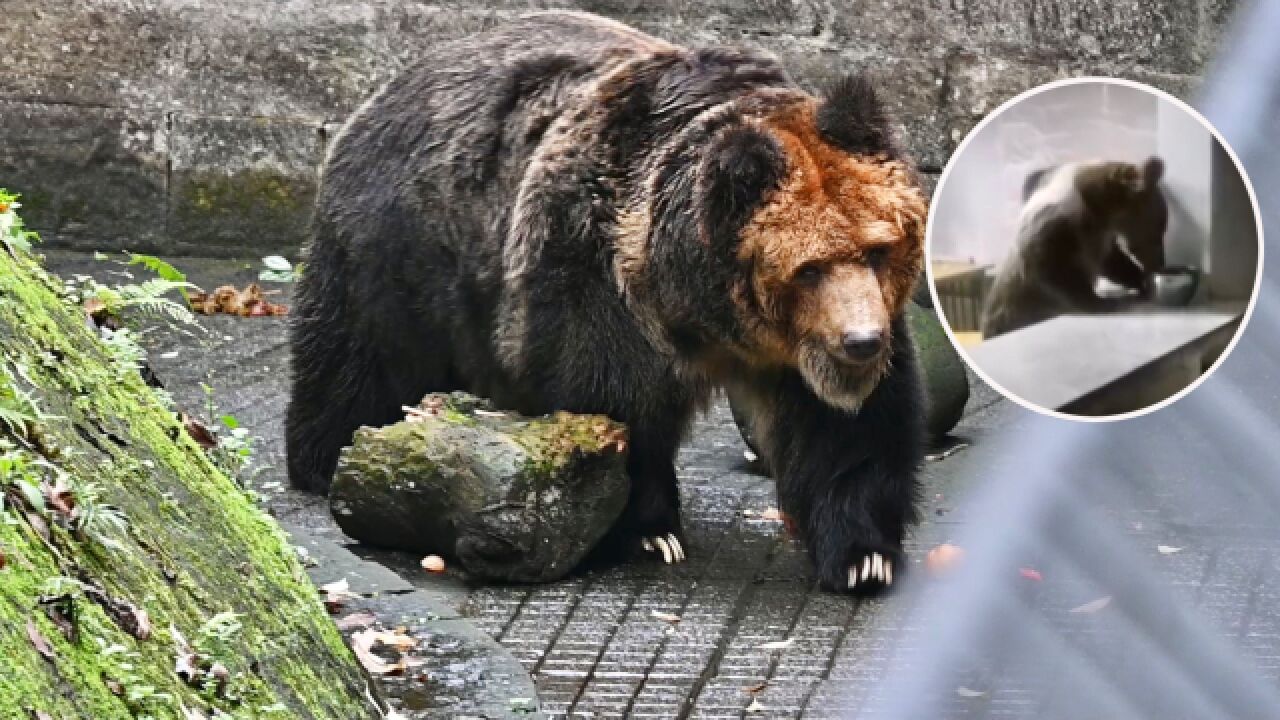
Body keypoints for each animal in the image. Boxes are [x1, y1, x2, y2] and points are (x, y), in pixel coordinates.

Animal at [288, 11, 931, 591]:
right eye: (809, 268)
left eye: (877, 250)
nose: (860, 341)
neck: (699, 307)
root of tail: (391, 86)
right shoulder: (594, 276)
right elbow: (611, 403)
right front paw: (648, 532)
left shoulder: (808, 348)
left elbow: (847, 432)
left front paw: (863, 556)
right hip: (400, 251)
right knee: (358, 363)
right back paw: (323, 459)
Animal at [977, 156, 1172, 335]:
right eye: (1158, 229)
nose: (1160, 262)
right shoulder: (1058, 225)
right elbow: (1049, 267)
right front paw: (1100, 302)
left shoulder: (1099, 238)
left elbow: (1113, 263)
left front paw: (1139, 282)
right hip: (1010, 313)